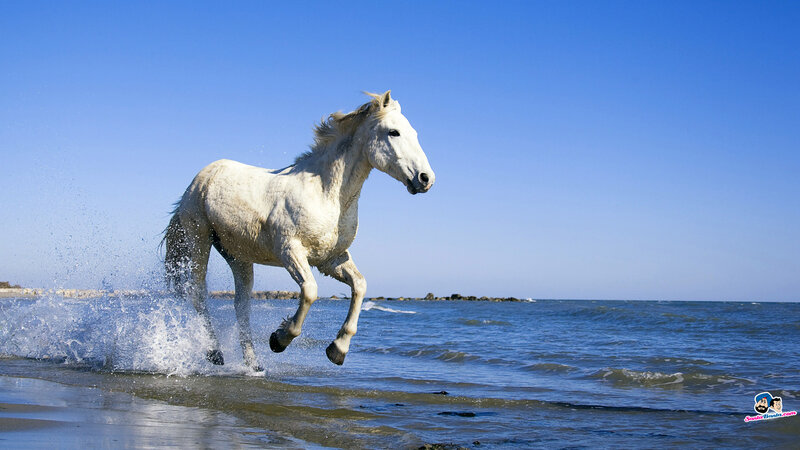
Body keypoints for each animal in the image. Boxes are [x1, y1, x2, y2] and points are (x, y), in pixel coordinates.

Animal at [163, 91, 435, 370]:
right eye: (394, 132)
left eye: (414, 133)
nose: (426, 178)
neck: (325, 193)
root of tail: (202, 177)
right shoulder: (290, 251)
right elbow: (310, 292)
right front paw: (279, 339)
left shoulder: (331, 259)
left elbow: (360, 285)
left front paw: (338, 350)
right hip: (199, 239)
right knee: (198, 293)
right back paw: (215, 352)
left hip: (238, 256)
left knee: (241, 306)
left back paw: (254, 364)